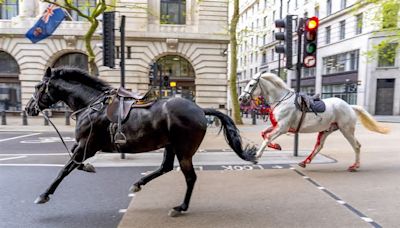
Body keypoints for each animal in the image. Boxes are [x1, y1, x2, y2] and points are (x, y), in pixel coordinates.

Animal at [25, 67, 256, 216]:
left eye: (37, 86)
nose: (28, 108)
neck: (91, 104)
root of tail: (200, 109)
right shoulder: (83, 145)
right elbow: (73, 162)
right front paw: (89, 167)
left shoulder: (87, 146)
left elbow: (65, 169)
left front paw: (44, 195)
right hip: (170, 145)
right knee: (165, 167)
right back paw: (139, 184)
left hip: (184, 150)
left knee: (190, 177)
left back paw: (180, 207)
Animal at [239, 72, 390, 171]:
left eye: (251, 85)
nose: (241, 98)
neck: (281, 100)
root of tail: (349, 106)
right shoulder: (277, 125)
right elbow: (264, 134)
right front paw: (276, 146)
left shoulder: (282, 127)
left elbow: (267, 138)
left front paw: (256, 156)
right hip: (327, 130)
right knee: (319, 146)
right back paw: (305, 162)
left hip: (346, 130)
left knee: (357, 146)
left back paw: (355, 166)